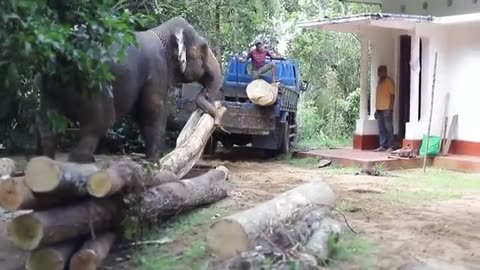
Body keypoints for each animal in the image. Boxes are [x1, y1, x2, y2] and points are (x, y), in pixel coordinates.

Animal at [36, 17, 222, 165]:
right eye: (204, 49)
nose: (215, 114)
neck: (162, 30)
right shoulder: (157, 71)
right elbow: (151, 112)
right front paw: (154, 162)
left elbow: (139, 115)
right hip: (94, 84)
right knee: (98, 124)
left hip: (49, 90)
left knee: (47, 128)